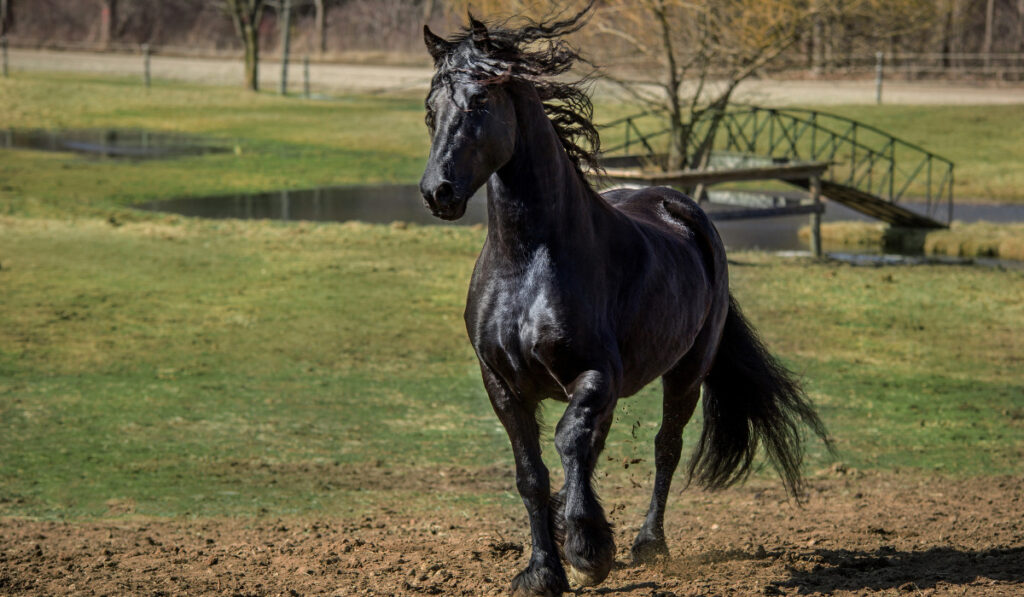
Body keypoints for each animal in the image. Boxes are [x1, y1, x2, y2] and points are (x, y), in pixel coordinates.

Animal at [419, 9, 827, 597]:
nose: (438, 193)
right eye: (430, 108)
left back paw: (645, 543)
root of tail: (682, 206)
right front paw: (544, 569)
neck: (527, 264)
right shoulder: (502, 384)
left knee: (664, 447)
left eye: (478, 102)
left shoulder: (595, 375)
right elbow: (532, 473)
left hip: (687, 372)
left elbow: (569, 442)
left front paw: (588, 551)